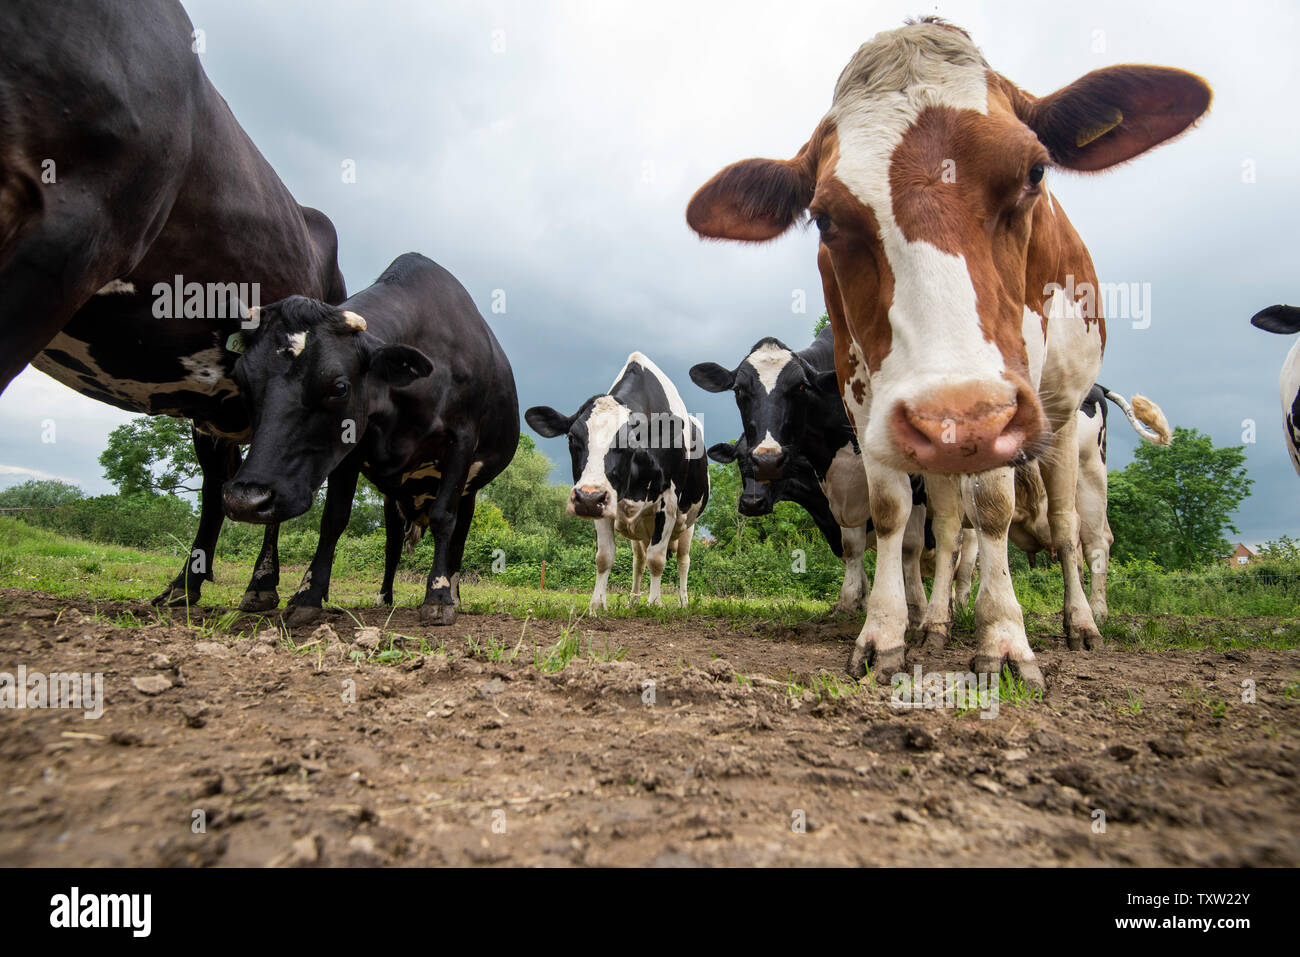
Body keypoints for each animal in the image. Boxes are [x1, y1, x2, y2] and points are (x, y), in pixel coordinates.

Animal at [221, 253, 520, 628]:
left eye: (339, 387)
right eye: (242, 380)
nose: (245, 499)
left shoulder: (461, 441)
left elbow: (443, 520)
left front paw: (438, 597)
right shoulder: (351, 449)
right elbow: (334, 519)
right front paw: (307, 595)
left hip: (469, 493)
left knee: (457, 540)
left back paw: (454, 593)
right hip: (394, 502)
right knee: (392, 546)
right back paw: (385, 598)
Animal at [525, 354, 709, 612]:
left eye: (629, 442)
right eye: (572, 438)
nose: (588, 498)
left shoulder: (669, 504)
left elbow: (657, 559)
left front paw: (655, 604)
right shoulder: (602, 503)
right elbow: (605, 557)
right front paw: (597, 604)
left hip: (688, 525)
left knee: (683, 560)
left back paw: (683, 602)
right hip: (640, 532)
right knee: (639, 560)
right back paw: (633, 600)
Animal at [686, 17, 1210, 687]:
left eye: (1036, 173)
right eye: (823, 217)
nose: (762, 470)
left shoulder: (1003, 398)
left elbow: (992, 511)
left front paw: (1004, 639)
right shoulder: (866, 398)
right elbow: (894, 518)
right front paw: (886, 632)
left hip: (1071, 432)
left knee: (1077, 533)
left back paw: (1086, 620)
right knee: (954, 526)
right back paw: (937, 622)